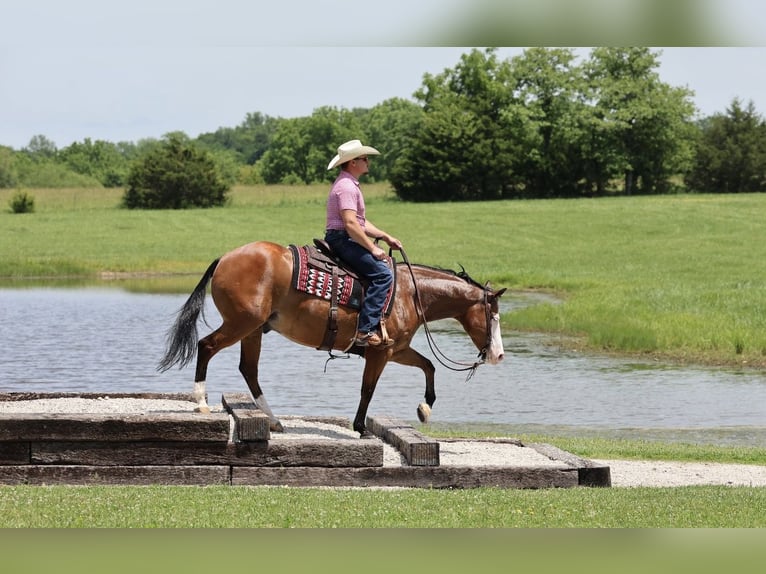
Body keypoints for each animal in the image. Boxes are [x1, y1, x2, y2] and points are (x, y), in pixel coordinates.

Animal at [158, 240, 506, 437]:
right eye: (493, 316)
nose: (499, 356)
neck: (410, 293)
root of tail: (226, 257)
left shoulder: (397, 350)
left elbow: (429, 366)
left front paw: (425, 408)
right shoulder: (380, 352)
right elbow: (368, 389)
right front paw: (361, 428)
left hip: (252, 329)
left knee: (249, 370)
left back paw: (274, 421)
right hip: (241, 323)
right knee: (206, 346)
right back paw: (202, 404)